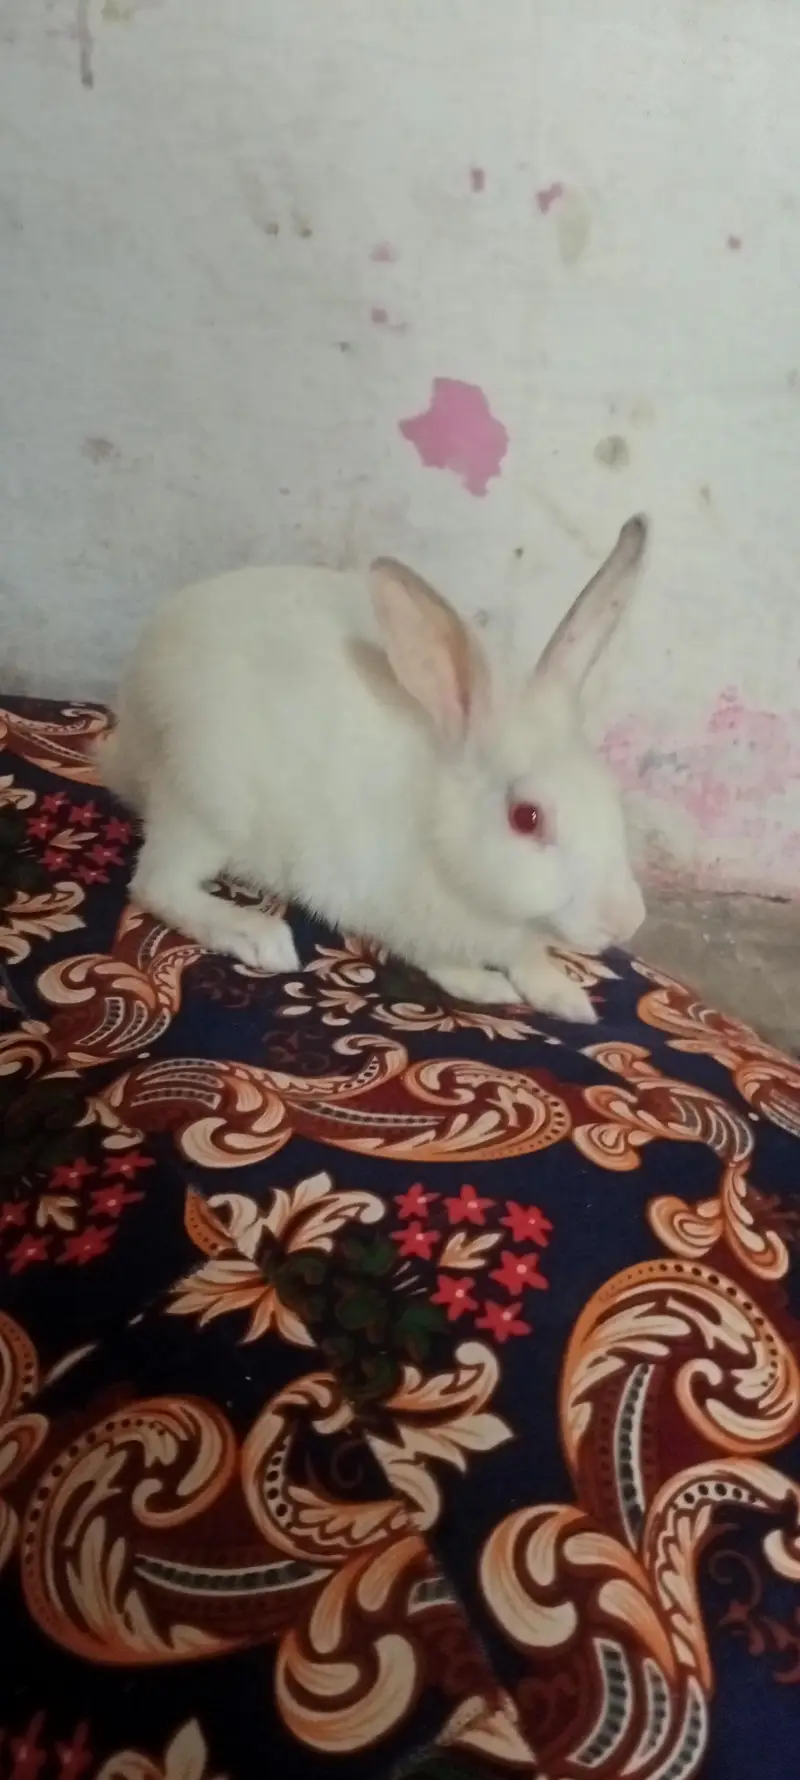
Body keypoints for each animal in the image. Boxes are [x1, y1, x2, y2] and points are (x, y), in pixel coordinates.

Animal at [98, 514, 649, 1023]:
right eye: (526, 817)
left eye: (613, 798)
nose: (624, 921)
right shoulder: (403, 922)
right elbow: (445, 964)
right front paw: (488, 988)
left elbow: (533, 962)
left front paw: (569, 999)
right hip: (200, 801)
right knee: (157, 883)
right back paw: (259, 938)